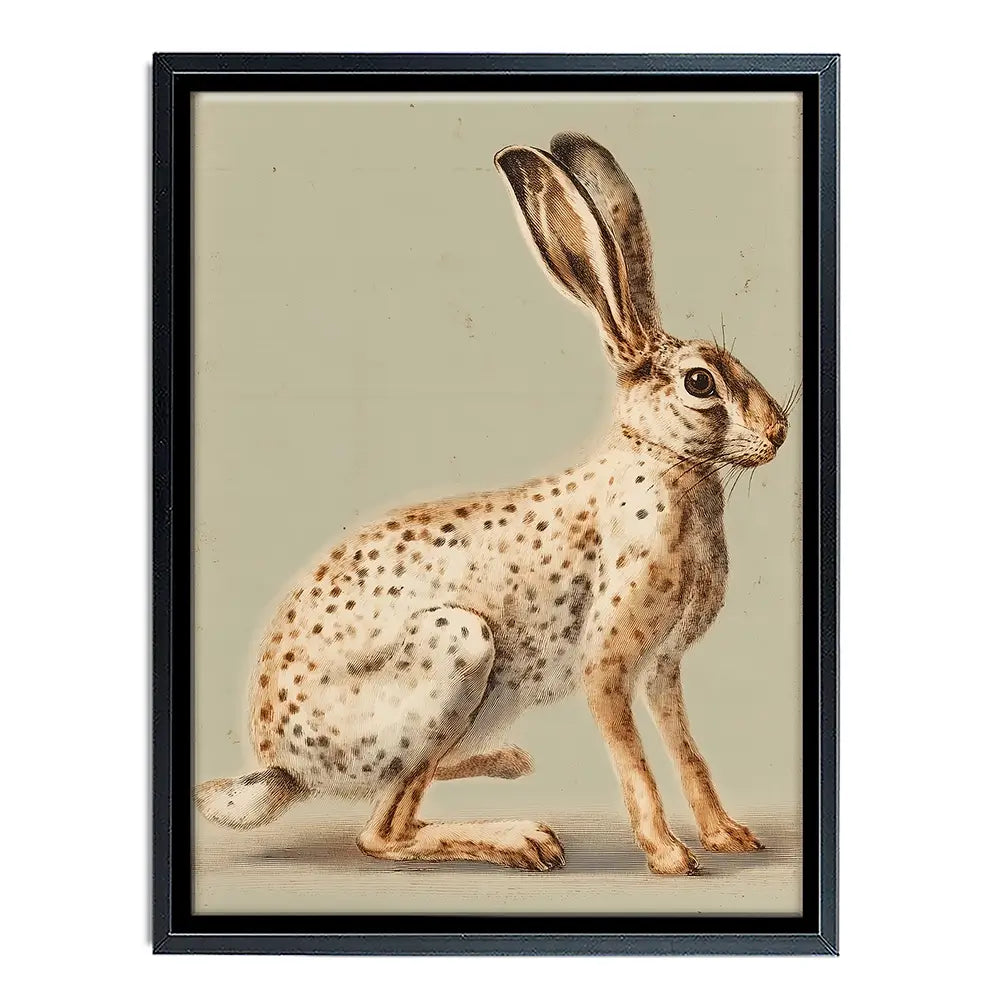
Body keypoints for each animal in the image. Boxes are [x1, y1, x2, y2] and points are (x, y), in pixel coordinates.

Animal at [195, 132, 790, 875]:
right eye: (701, 383)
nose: (779, 432)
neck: (662, 463)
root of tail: (282, 766)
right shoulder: (607, 665)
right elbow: (637, 767)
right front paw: (670, 858)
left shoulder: (663, 669)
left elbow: (687, 752)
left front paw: (727, 835)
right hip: (458, 653)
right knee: (382, 831)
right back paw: (523, 839)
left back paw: (509, 763)